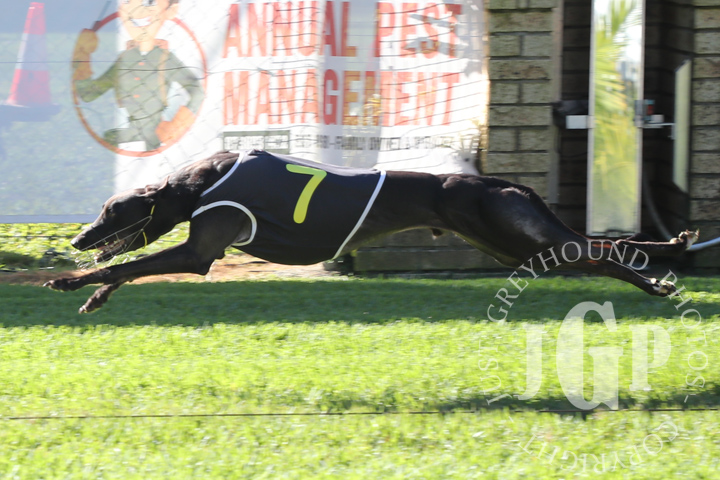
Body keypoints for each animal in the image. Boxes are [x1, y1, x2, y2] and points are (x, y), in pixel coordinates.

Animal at [45, 149, 698, 313]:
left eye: (109, 210)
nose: (75, 238)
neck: (198, 180)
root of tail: (498, 183)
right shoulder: (193, 245)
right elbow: (129, 267)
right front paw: (94, 293)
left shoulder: (200, 249)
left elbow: (129, 261)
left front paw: (73, 281)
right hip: (510, 241)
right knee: (603, 248)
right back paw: (667, 262)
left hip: (515, 234)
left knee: (601, 251)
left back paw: (665, 272)